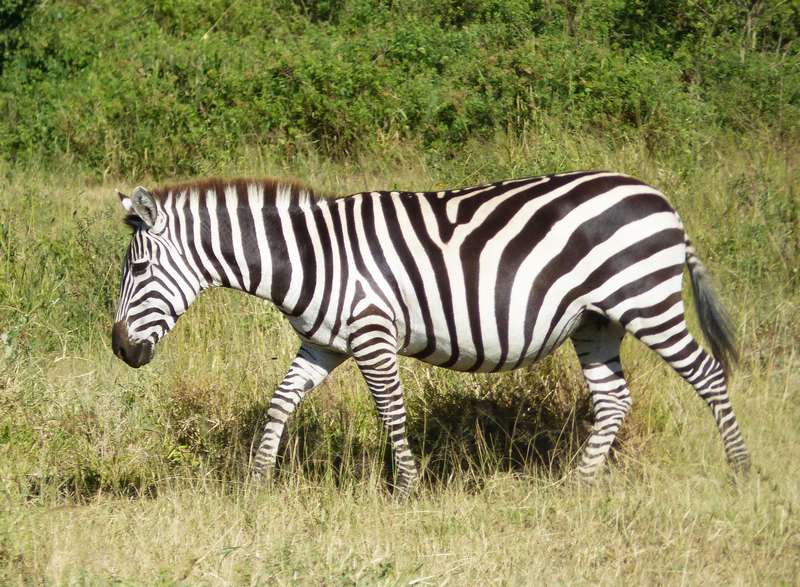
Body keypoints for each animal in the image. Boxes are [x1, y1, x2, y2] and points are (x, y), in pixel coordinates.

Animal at [112, 171, 750, 495]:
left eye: (137, 269)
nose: (120, 349)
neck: (314, 257)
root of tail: (661, 200)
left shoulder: (372, 333)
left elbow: (391, 412)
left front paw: (407, 491)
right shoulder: (324, 342)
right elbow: (279, 402)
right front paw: (256, 484)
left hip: (647, 303)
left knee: (709, 375)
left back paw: (740, 473)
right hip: (597, 320)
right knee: (614, 398)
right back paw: (578, 486)